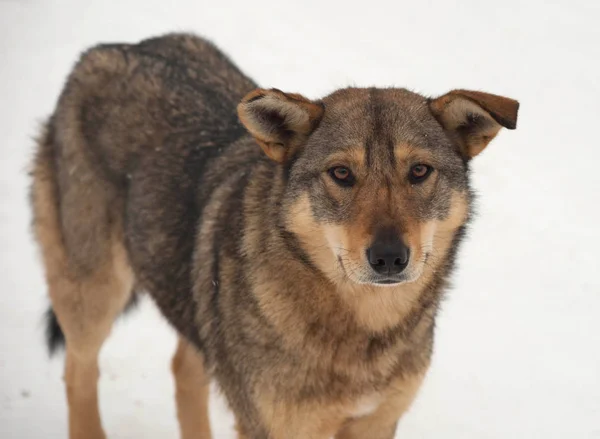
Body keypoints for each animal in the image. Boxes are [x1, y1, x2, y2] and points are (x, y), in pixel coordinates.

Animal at [27, 33, 516, 439]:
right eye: (341, 173)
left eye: (419, 171)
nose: (390, 257)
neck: (361, 329)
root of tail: (111, 48)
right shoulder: (279, 427)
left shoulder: (378, 422)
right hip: (93, 295)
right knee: (79, 373)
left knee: (183, 368)